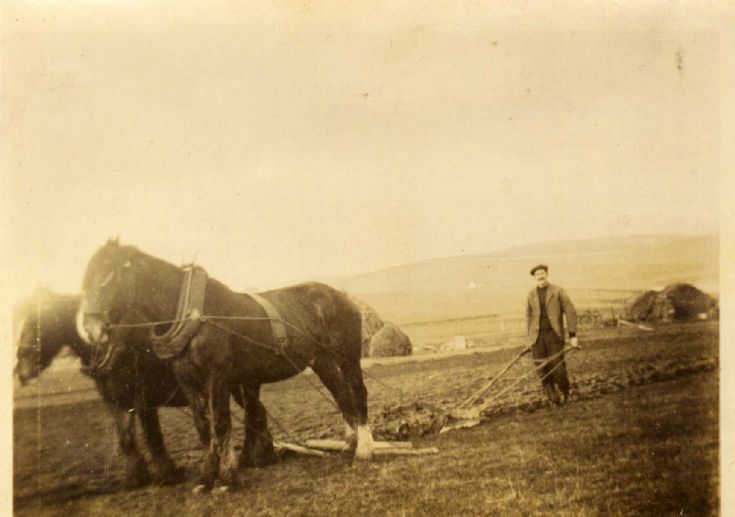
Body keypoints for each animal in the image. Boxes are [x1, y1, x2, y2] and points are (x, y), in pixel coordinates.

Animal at [14, 290, 203, 488]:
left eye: (39, 320)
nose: (21, 370)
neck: (114, 351)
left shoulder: (144, 401)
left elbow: (153, 437)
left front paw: (168, 474)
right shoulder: (116, 402)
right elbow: (126, 439)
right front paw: (137, 477)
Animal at [82, 241, 374, 492]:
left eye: (109, 275)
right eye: (86, 278)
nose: (91, 328)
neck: (193, 316)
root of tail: (341, 295)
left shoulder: (218, 378)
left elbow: (221, 424)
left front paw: (226, 478)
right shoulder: (189, 382)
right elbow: (204, 428)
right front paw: (206, 478)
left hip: (347, 354)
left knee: (357, 392)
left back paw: (364, 450)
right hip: (322, 360)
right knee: (341, 395)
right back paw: (349, 445)